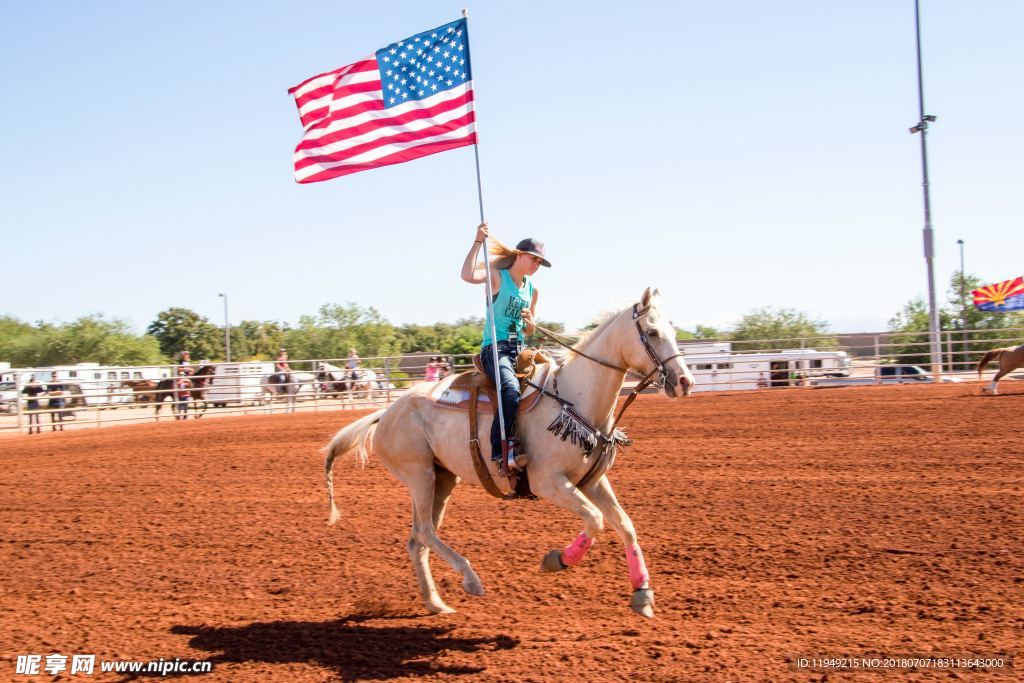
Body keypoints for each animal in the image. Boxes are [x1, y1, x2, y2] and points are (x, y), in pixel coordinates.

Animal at [323, 288, 696, 618]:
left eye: (674, 330)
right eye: (651, 331)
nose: (685, 382)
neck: (573, 397)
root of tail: (385, 412)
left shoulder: (592, 482)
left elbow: (625, 525)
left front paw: (642, 594)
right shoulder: (549, 482)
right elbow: (595, 520)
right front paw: (557, 560)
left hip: (443, 479)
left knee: (418, 540)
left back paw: (435, 603)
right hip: (419, 475)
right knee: (426, 532)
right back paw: (471, 580)